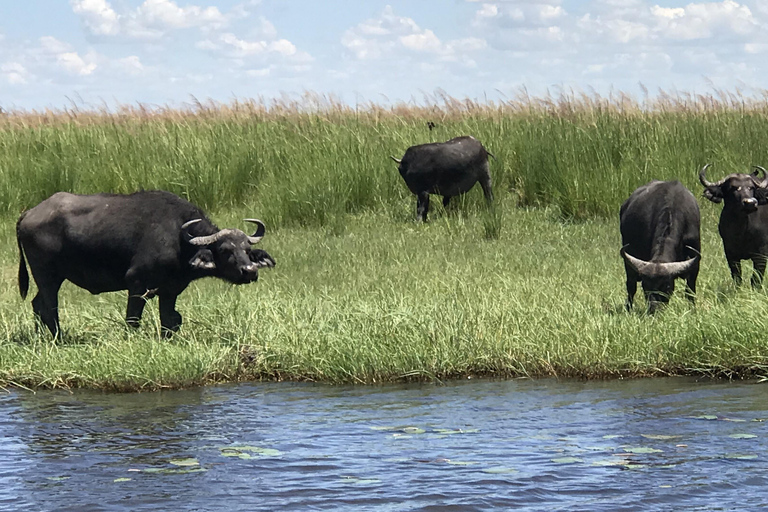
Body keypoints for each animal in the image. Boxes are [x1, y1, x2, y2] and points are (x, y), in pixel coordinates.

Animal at [15, 190, 276, 338]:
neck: (178, 239)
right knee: (49, 307)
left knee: (38, 304)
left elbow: (171, 320)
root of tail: (28, 214)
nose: (249, 271)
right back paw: (59, 338)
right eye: (224, 250)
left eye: (247, 250)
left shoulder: (170, 291)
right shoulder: (137, 283)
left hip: (52, 277)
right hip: (46, 274)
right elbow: (133, 319)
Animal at [620, 182, 700, 314]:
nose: (654, 309)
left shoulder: (695, 264)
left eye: (666, 286)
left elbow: (690, 291)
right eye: (645, 286)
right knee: (631, 286)